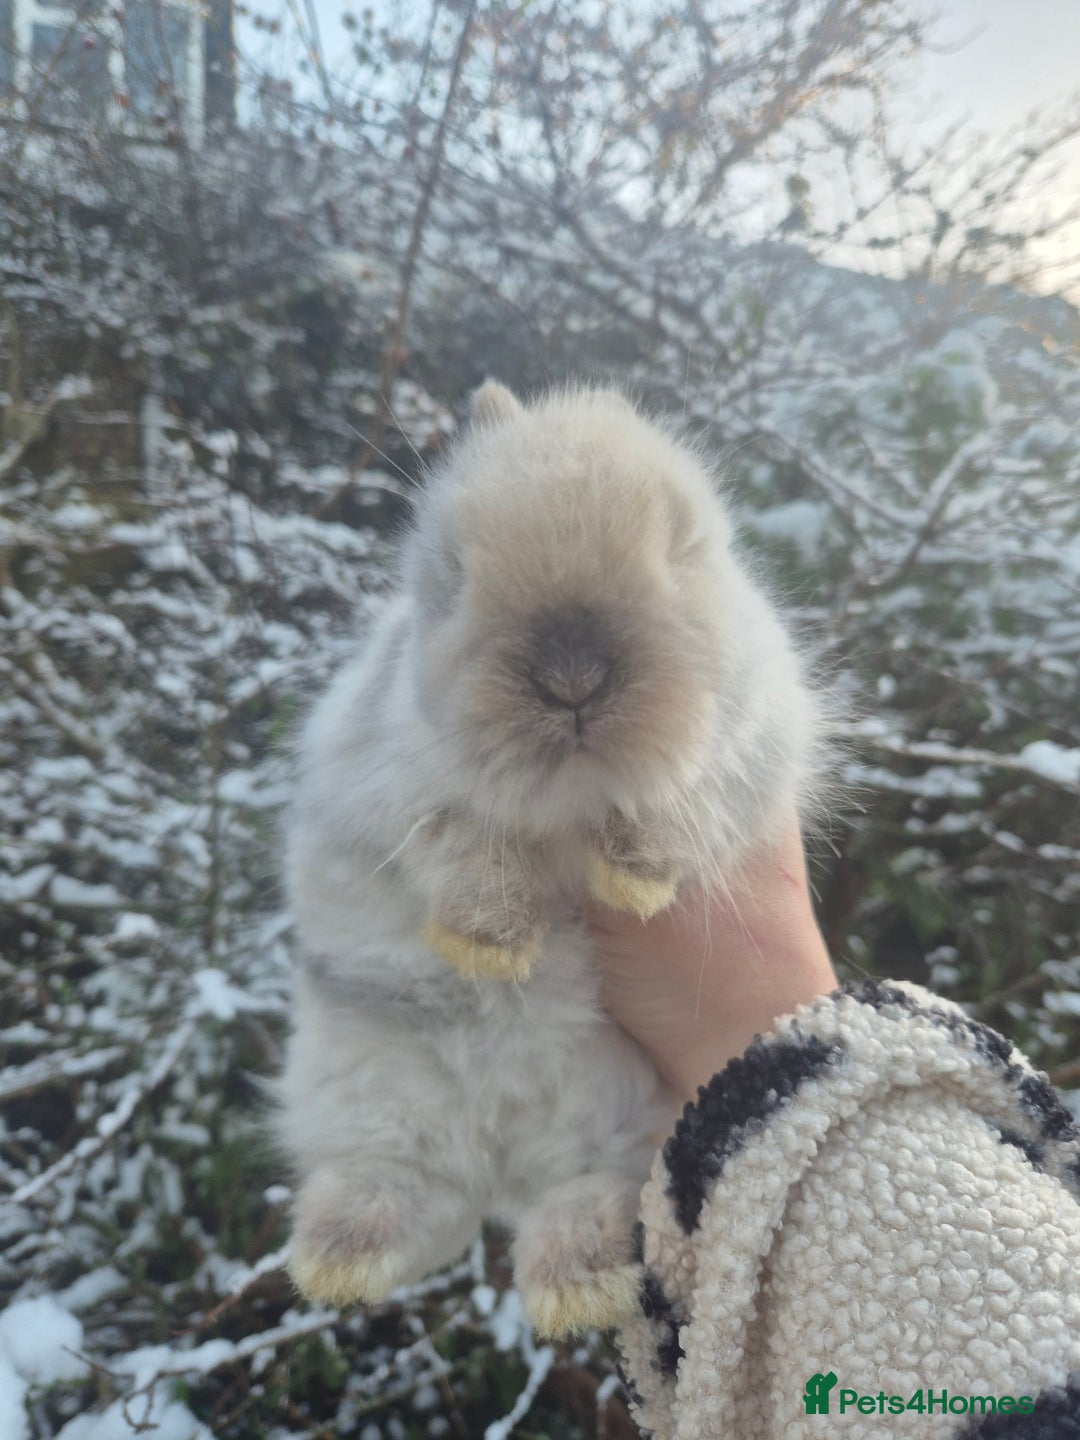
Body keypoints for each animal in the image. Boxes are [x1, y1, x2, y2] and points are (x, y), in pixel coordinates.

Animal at [278, 381, 825, 1339]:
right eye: (453, 574)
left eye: (683, 547)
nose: (572, 677)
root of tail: (503, 1161)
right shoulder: (390, 782)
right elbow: (469, 844)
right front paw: (492, 947)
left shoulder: (747, 757)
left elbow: (676, 807)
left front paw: (632, 883)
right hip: (360, 1096)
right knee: (404, 1194)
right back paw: (339, 1264)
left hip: (636, 1136)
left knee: (585, 1201)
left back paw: (578, 1289)